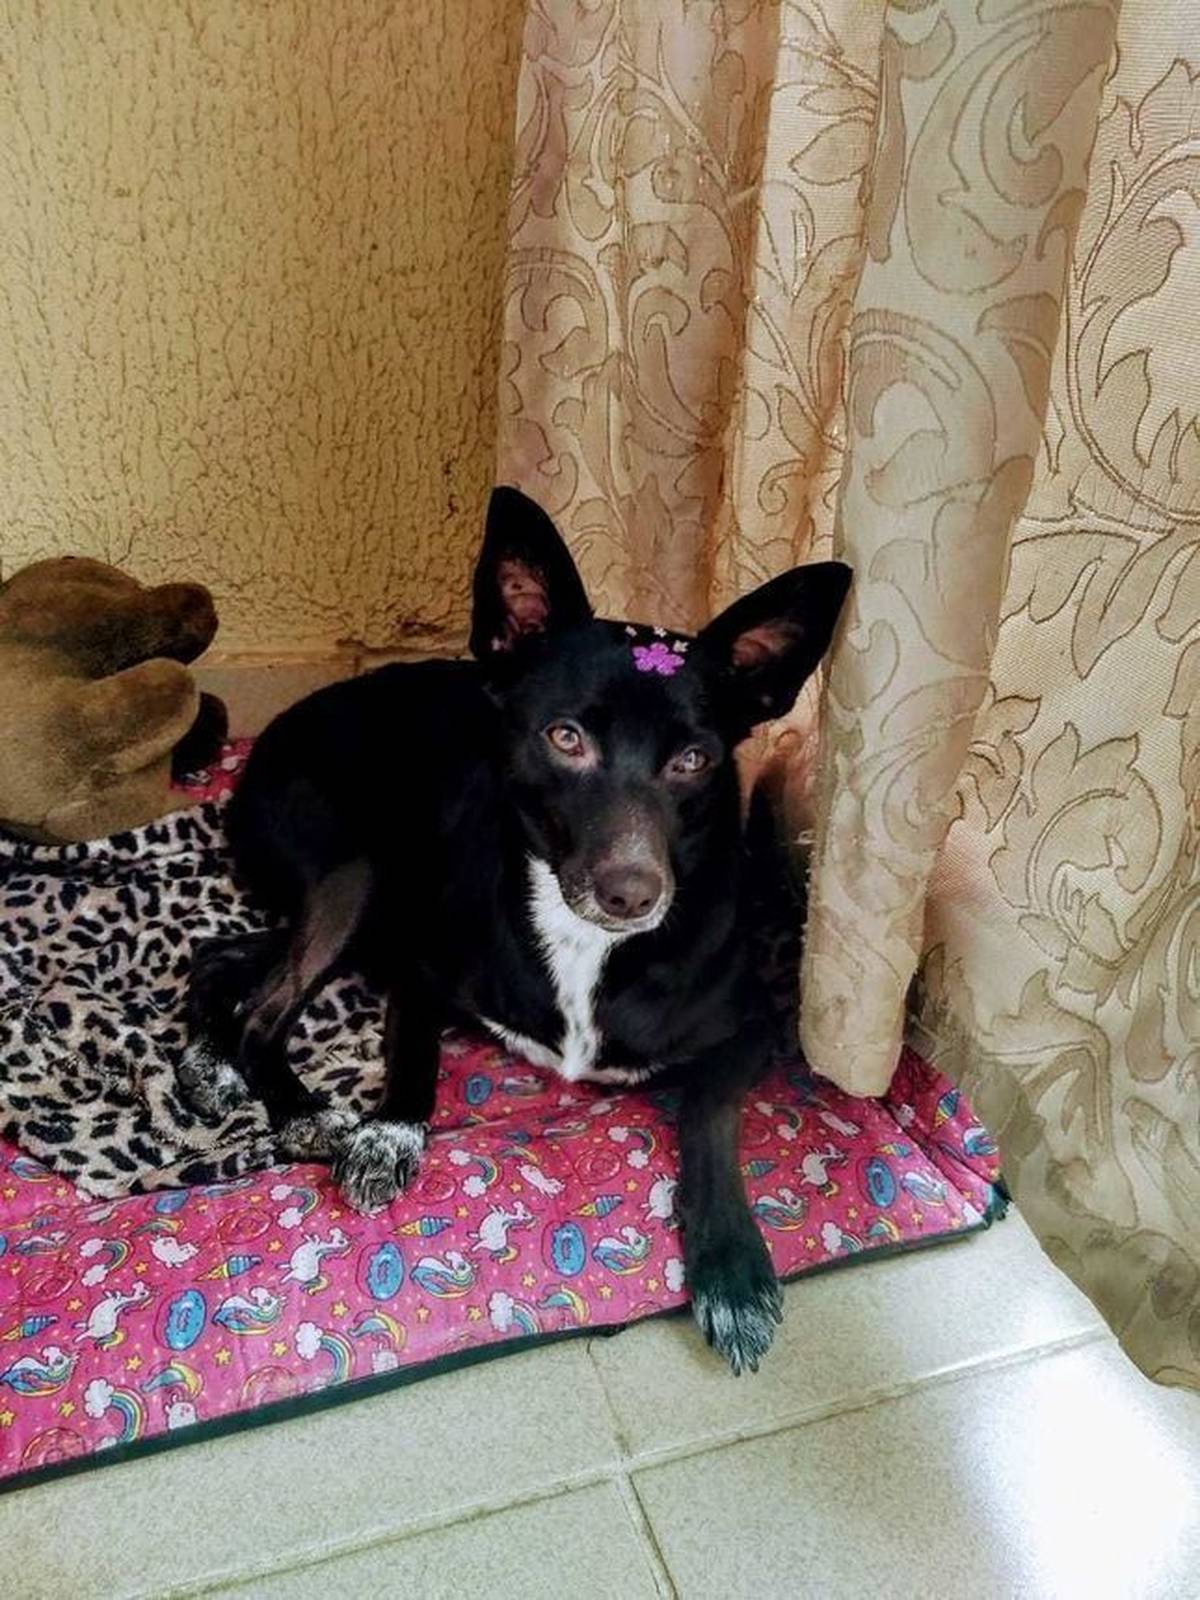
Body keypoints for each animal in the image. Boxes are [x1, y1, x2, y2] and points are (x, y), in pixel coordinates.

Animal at [179, 487, 850, 1372]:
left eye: (694, 760)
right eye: (566, 737)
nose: (633, 893)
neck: (584, 943)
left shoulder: (753, 1027)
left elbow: (707, 1113)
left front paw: (734, 1272)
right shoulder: (423, 970)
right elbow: (416, 1061)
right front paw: (387, 1138)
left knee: (220, 957)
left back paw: (209, 1060)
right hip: (360, 873)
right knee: (264, 1004)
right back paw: (294, 1107)